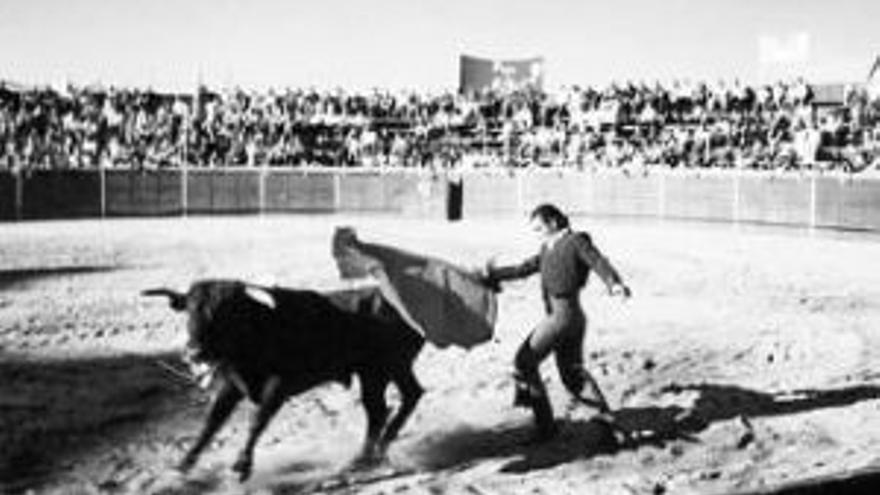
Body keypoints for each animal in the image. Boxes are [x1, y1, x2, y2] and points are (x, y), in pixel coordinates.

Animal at [143, 280, 424, 482]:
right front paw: (182, 466)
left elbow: (257, 420)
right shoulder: (232, 386)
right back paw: (371, 455)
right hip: (385, 372)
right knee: (398, 401)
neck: (256, 330)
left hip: (380, 371)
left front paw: (242, 465)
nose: (193, 352)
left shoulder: (279, 385)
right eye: (189, 311)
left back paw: (369, 456)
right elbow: (211, 423)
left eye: (226, 314)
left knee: (385, 407)